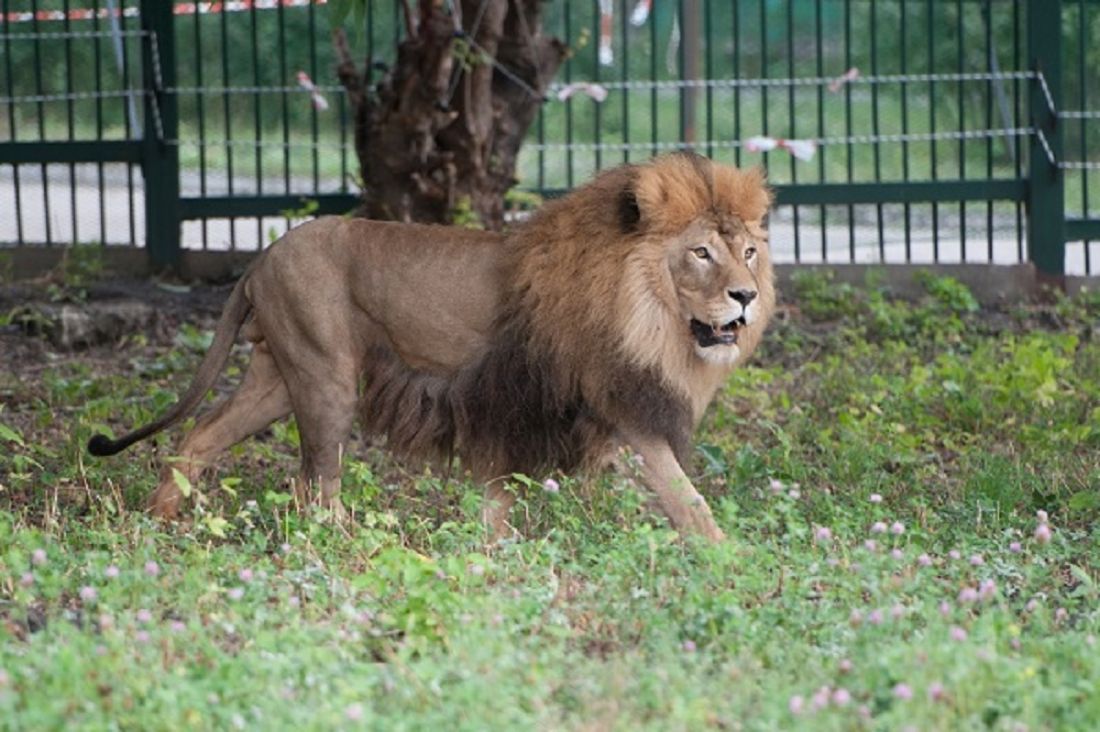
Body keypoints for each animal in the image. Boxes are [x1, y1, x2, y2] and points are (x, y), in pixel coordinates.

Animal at [90, 153, 778, 541]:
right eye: (701, 252)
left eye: (748, 251)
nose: (745, 297)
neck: (650, 311)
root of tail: (262, 255)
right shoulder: (621, 399)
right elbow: (684, 496)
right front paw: (726, 560)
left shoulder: (527, 407)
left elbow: (501, 493)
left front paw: (493, 554)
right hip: (324, 376)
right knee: (316, 486)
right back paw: (350, 545)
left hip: (277, 376)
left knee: (202, 436)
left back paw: (158, 518)